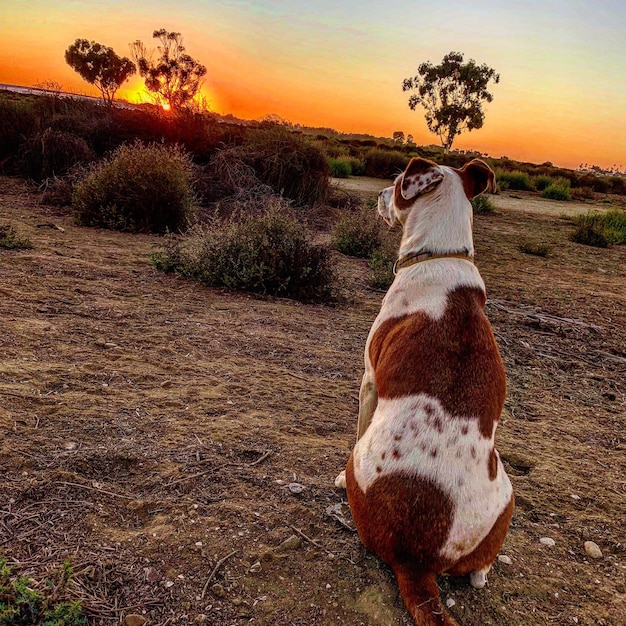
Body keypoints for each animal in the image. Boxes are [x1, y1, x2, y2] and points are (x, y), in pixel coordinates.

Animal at [336, 157, 512, 624]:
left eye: (398, 182)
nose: (379, 194)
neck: (441, 254)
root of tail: (415, 561)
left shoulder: (368, 380)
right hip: (507, 490)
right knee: (479, 574)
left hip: (360, 465)